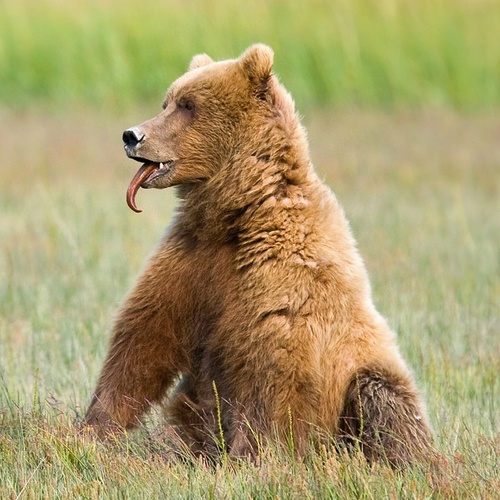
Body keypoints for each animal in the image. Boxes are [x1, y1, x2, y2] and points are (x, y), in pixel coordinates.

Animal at [84, 45, 432, 466]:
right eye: (167, 102)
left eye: (188, 105)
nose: (132, 135)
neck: (236, 214)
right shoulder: (193, 258)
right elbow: (143, 337)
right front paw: (92, 430)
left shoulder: (277, 277)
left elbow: (270, 374)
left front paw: (252, 457)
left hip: (366, 375)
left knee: (383, 400)